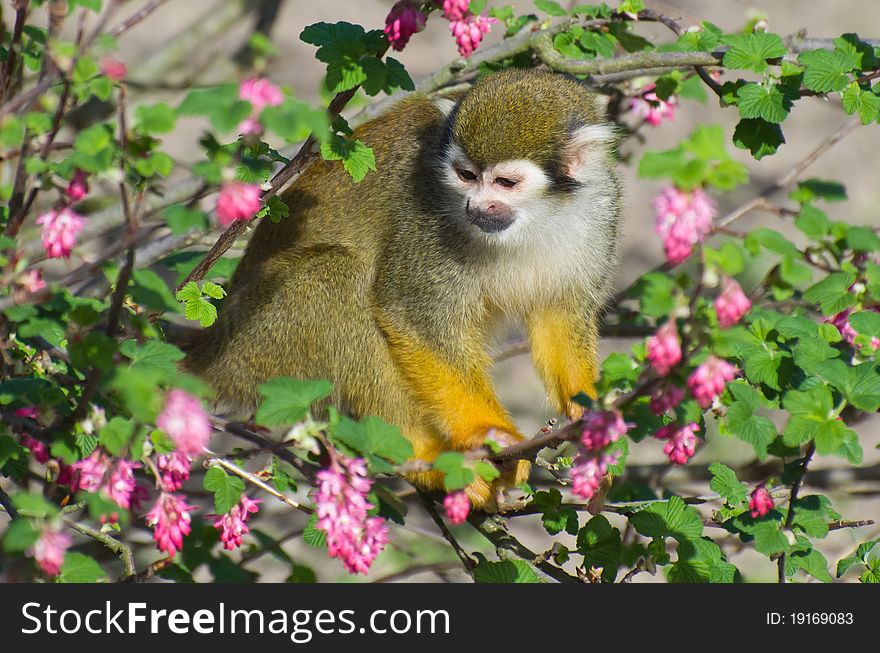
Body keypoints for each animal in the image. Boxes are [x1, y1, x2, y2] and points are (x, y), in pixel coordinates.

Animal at [187, 70, 620, 510]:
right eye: (466, 176)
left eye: (505, 182)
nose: (475, 207)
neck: (537, 217)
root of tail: (214, 347)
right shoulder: (429, 212)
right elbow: (411, 315)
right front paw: (485, 432)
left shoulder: (600, 208)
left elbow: (560, 317)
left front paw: (592, 419)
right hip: (260, 348)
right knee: (337, 276)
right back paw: (423, 458)